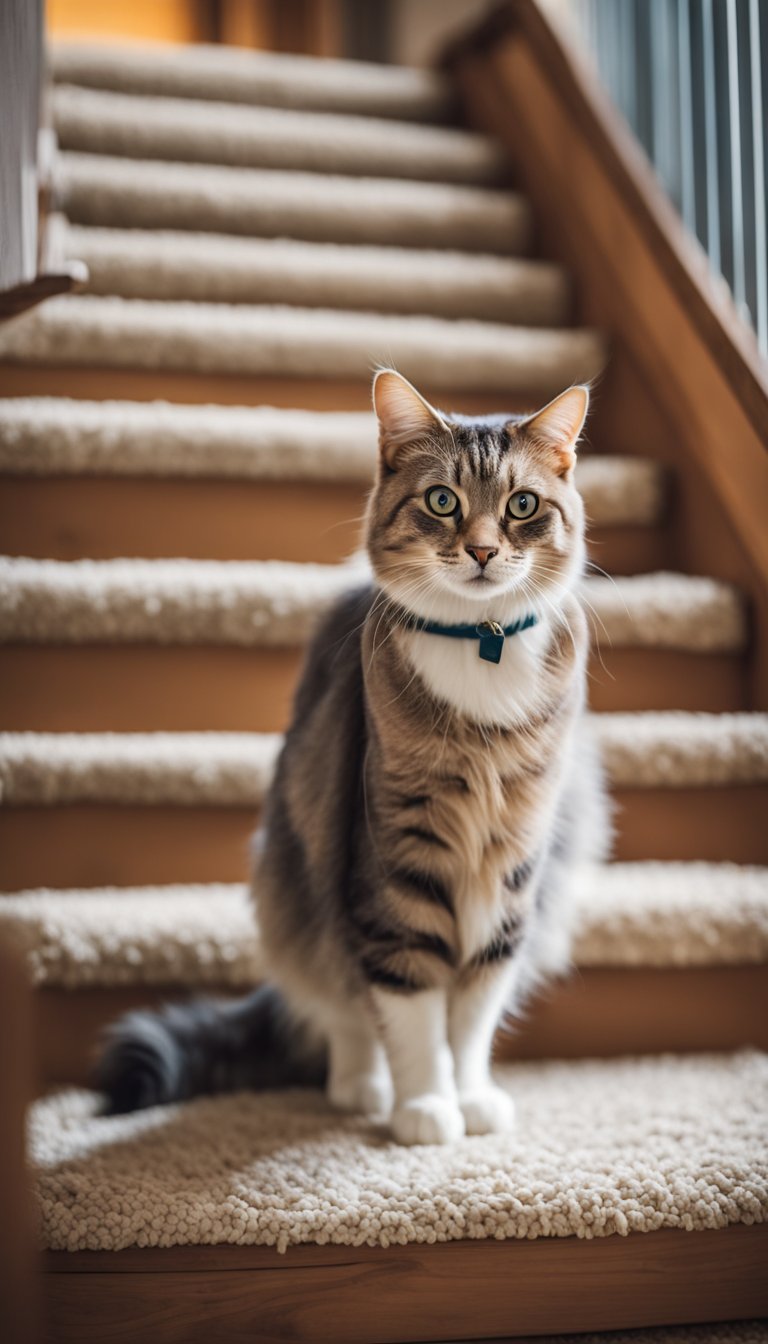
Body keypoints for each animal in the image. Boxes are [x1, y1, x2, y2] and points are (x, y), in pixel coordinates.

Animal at [97, 368, 613, 1145]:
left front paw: (470, 1098)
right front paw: (425, 1108)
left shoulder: (513, 869)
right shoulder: (396, 852)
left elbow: (473, 1014)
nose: (483, 551)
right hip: (299, 876)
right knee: (343, 1004)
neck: (480, 646)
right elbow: (411, 1005)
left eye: (521, 505)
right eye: (442, 501)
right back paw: (363, 1089)